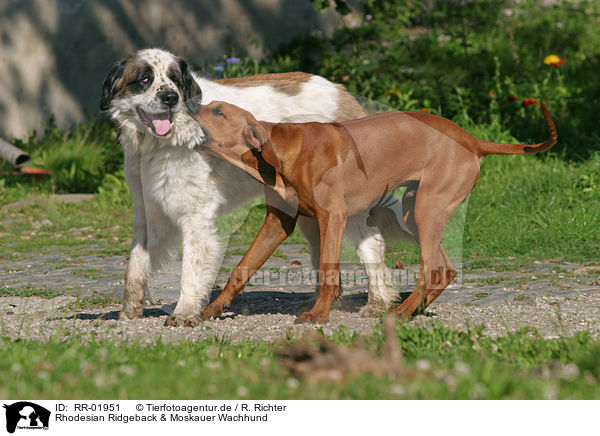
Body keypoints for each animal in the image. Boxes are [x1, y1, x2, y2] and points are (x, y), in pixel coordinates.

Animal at [101, 49, 408, 326]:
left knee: (371, 246)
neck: (155, 143)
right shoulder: (147, 212)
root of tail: (341, 90)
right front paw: (129, 310)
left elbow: (191, 270)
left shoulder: (197, 218)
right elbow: (135, 266)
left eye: (175, 79)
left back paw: (377, 303)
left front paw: (185, 312)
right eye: (145, 79)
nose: (170, 98)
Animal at [195, 100, 556, 322]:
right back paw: (413, 310)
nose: (188, 100)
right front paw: (211, 309)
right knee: (446, 269)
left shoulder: (333, 217)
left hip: (427, 208)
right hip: (416, 211)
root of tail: (472, 141)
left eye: (218, 111)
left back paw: (401, 312)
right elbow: (241, 268)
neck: (282, 149)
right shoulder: (278, 222)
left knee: (432, 268)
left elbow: (328, 271)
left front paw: (319, 315)